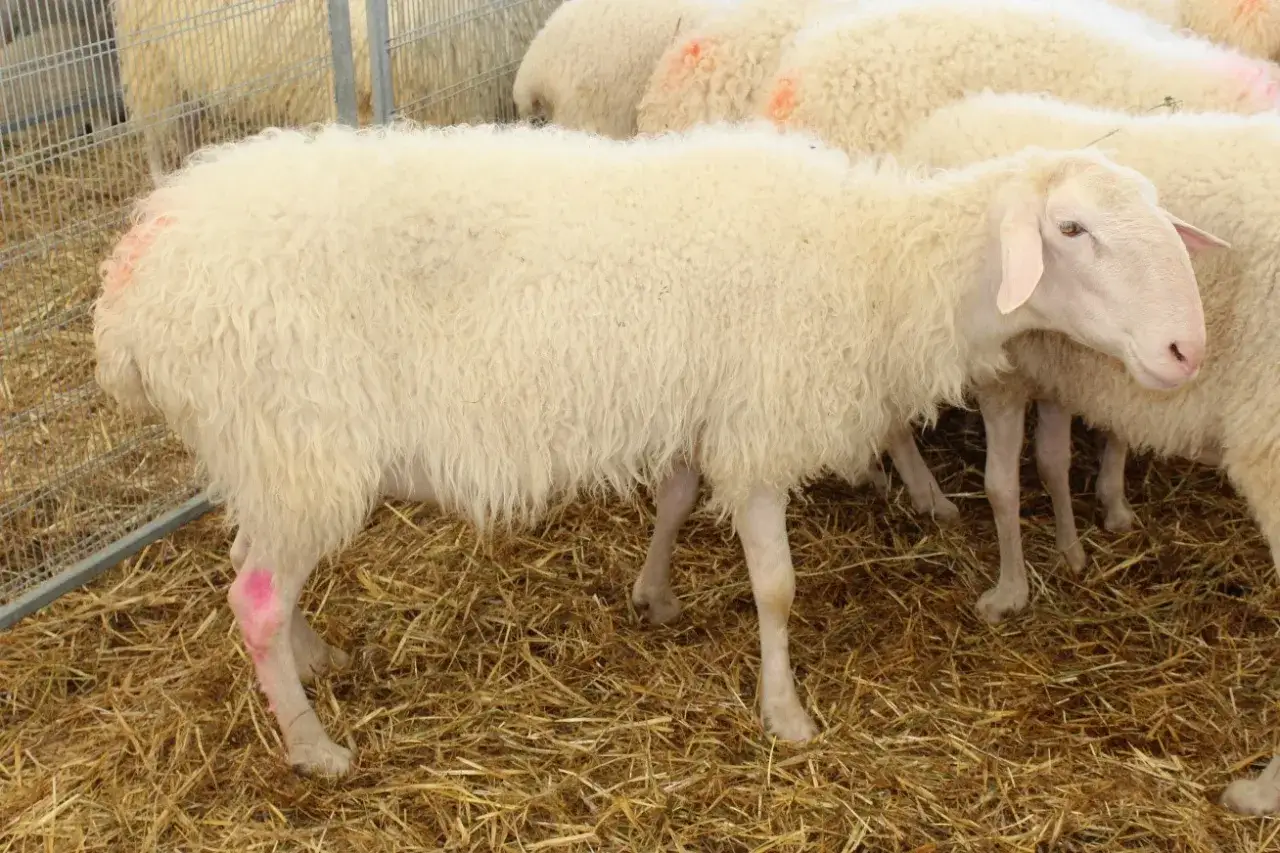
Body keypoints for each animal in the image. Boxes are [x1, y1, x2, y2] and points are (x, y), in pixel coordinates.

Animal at [91, 116, 1211, 773]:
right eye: (1071, 230)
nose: (1184, 351)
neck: (883, 260)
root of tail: (136, 269)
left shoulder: (702, 403)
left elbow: (673, 497)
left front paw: (656, 595)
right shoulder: (758, 420)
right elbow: (776, 589)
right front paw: (785, 713)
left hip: (272, 451)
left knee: (265, 575)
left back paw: (312, 658)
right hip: (295, 431)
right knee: (252, 595)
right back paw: (314, 745)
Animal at [896, 89, 1280, 817]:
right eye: (1069, 229)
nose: (1186, 349)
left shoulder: (1018, 367)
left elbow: (1011, 477)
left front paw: (1017, 586)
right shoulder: (1032, 368)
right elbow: (1027, 471)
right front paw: (1054, 562)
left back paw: (1260, 790)